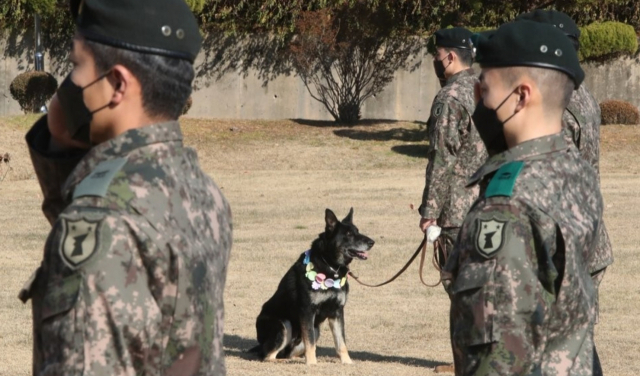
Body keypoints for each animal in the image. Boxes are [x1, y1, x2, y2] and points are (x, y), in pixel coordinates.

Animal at [249, 209, 372, 364]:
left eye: (357, 231)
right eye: (349, 234)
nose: (372, 242)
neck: (330, 266)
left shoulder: (337, 312)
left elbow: (341, 342)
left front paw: (347, 362)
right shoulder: (307, 311)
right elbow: (310, 341)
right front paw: (312, 363)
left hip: (315, 329)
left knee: (287, 353)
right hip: (284, 325)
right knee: (267, 355)